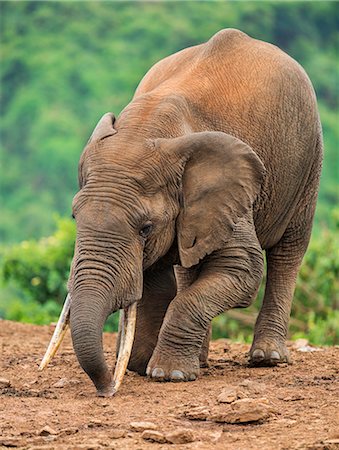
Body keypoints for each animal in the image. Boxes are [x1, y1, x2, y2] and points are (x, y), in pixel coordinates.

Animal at [42, 28, 324, 396]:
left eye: (146, 228)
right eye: (75, 217)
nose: (107, 389)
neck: (145, 128)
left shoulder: (230, 194)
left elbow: (243, 268)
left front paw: (167, 374)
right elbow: (158, 277)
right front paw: (140, 366)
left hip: (309, 158)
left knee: (289, 250)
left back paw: (267, 358)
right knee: (189, 267)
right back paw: (201, 362)